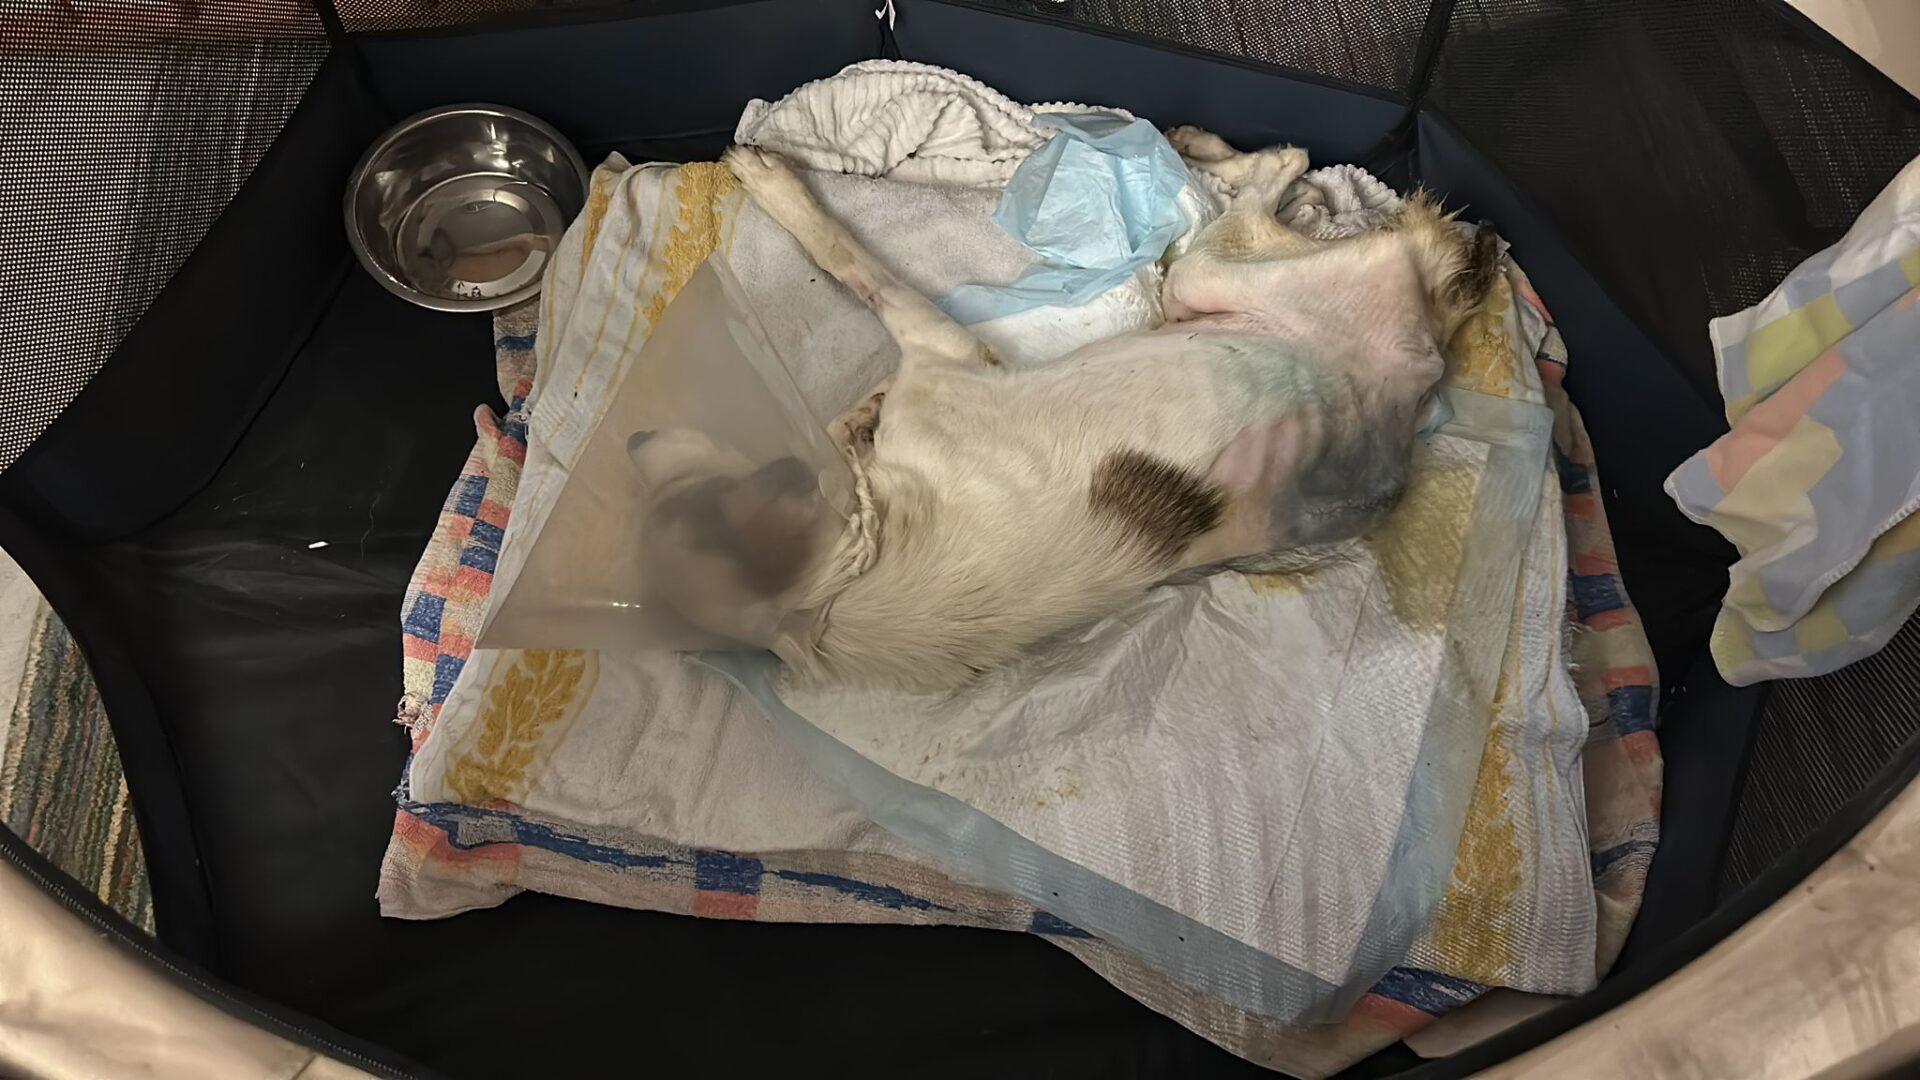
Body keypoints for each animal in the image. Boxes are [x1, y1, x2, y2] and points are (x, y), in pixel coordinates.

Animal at [628, 130, 1501, 688]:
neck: (820, 592)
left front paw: (777, 187)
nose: (634, 437)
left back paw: (1200, 148)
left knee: (1278, 173)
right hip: (1211, 294)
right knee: (1275, 181)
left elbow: (846, 257)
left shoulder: (942, 354)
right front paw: (855, 420)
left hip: (1209, 276)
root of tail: (1420, 368)